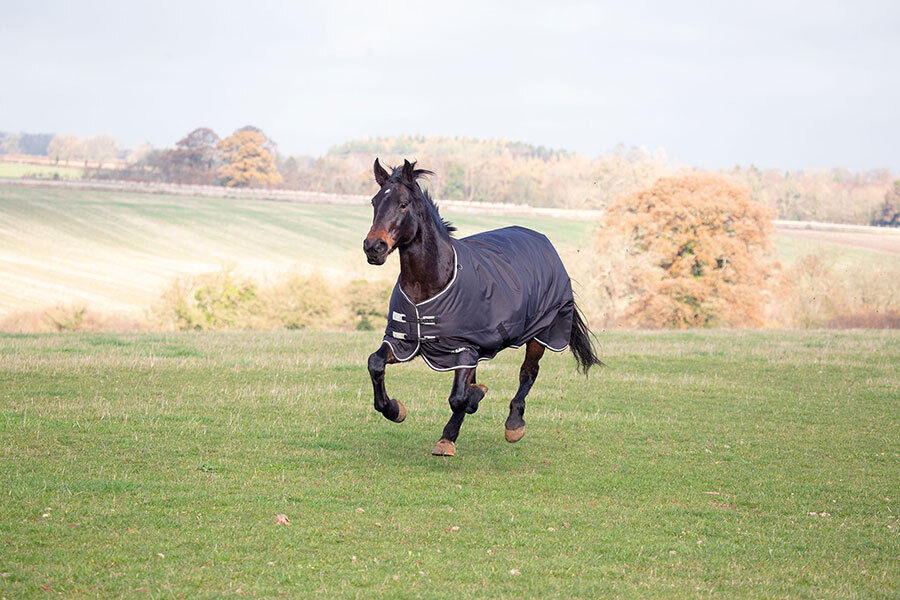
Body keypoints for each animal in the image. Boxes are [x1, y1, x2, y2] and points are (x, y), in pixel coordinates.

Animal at [363, 158, 602, 456]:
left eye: (403, 204)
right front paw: (395, 410)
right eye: (374, 201)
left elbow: (459, 397)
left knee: (528, 373)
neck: (430, 283)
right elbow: (375, 364)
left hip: (541, 333)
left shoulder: (464, 347)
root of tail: (541, 239)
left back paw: (514, 424)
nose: (373, 247)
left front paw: (469, 407)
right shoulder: (405, 343)